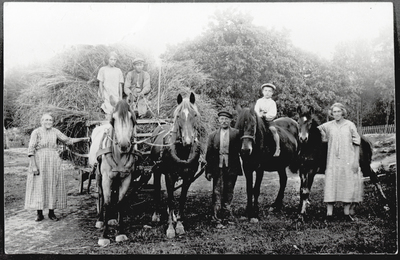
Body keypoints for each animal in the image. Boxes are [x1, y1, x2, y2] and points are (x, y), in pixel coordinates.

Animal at [88, 98, 138, 247]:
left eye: (131, 117)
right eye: (114, 118)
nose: (124, 145)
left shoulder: (126, 178)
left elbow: (120, 202)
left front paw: (120, 232)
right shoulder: (106, 178)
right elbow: (107, 203)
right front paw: (104, 236)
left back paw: (111, 219)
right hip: (98, 176)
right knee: (101, 196)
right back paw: (100, 220)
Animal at [149, 92, 202, 239]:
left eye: (194, 115)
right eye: (178, 116)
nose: (188, 142)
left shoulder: (188, 177)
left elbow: (181, 200)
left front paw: (179, 224)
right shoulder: (169, 175)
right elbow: (171, 199)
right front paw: (170, 228)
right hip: (156, 171)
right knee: (157, 189)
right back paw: (156, 214)